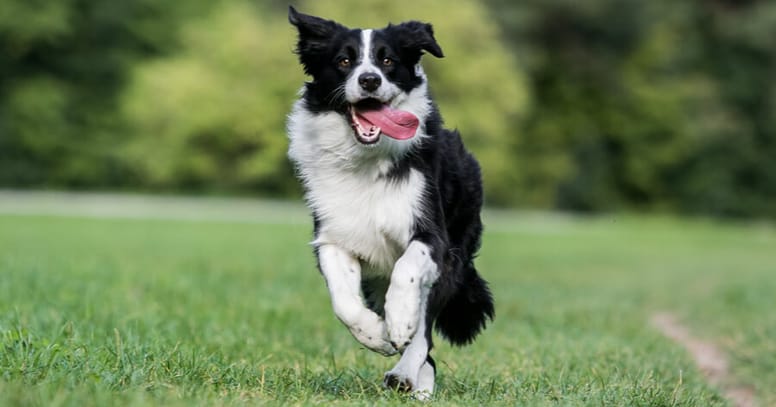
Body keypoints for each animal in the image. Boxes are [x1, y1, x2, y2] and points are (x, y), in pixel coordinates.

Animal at [288, 6, 494, 400]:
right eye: (344, 60)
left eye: (387, 60)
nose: (369, 80)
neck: (366, 160)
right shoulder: (333, 237)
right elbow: (343, 300)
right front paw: (375, 335)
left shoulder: (433, 236)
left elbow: (407, 272)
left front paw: (398, 323)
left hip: (454, 257)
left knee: (425, 330)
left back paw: (407, 374)